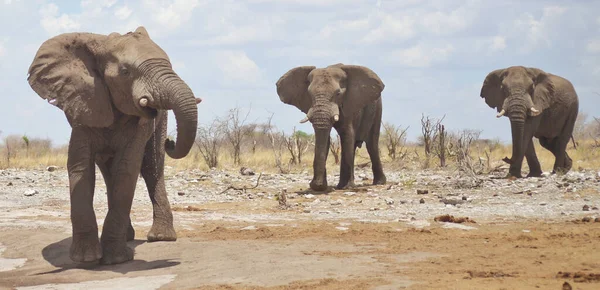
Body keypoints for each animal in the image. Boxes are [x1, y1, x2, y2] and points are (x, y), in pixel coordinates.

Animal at [27, 27, 200, 266]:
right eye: (125, 72)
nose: (170, 142)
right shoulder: (84, 103)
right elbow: (80, 167)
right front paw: (86, 259)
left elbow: (127, 168)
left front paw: (116, 260)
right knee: (109, 171)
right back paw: (128, 236)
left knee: (151, 168)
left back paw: (161, 237)